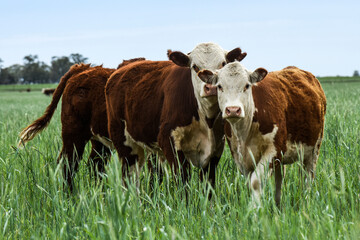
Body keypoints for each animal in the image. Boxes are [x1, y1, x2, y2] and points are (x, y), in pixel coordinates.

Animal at [18, 58, 145, 191]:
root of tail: (81, 68)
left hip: (99, 140)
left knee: (95, 164)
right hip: (73, 134)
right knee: (70, 163)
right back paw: (70, 194)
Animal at [104, 43, 248, 188]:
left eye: (222, 64)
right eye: (195, 67)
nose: (211, 87)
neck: (206, 119)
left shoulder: (216, 148)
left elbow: (208, 184)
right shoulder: (168, 139)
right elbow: (182, 180)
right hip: (123, 143)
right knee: (129, 177)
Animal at [198, 62, 328, 206]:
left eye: (247, 85)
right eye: (220, 86)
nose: (233, 110)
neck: (245, 131)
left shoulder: (273, 150)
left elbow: (256, 182)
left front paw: (255, 209)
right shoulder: (240, 156)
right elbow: (249, 183)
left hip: (313, 149)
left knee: (307, 178)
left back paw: (306, 201)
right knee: (279, 181)